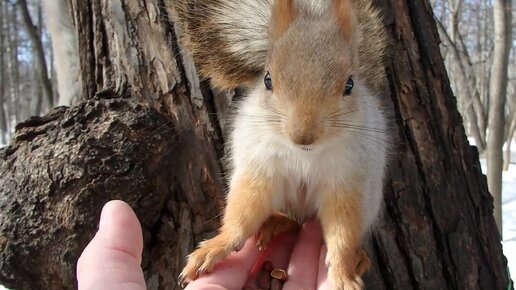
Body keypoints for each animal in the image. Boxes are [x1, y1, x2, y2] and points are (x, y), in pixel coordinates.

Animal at [173, 1, 388, 288]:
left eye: (350, 84)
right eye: (267, 80)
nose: (303, 135)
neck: (306, 155)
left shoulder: (347, 182)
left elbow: (342, 232)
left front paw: (343, 274)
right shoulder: (261, 170)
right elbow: (243, 214)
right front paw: (216, 248)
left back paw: (360, 257)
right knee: (291, 219)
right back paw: (277, 223)